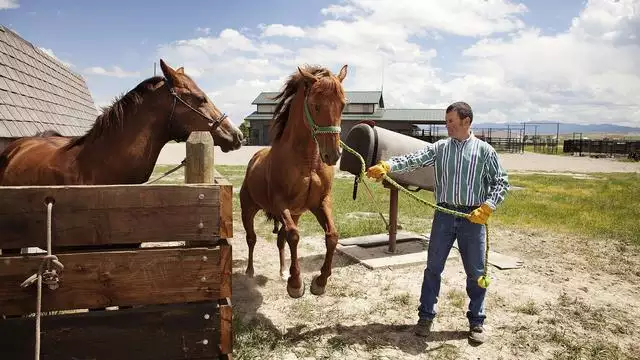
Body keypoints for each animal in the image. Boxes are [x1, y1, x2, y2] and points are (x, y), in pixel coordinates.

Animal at [241, 64, 350, 298]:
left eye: (343, 105)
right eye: (316, 105)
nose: (333, 155)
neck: (307, 161)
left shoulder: (320, 203)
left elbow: (332, 236)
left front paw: (319, 281)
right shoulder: (281, 203)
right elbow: (293, 237)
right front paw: (296, 283)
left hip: (296, 214)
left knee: (280, 240)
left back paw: (283, 271)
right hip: (249, 209)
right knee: (252, 239)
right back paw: (250, 272)